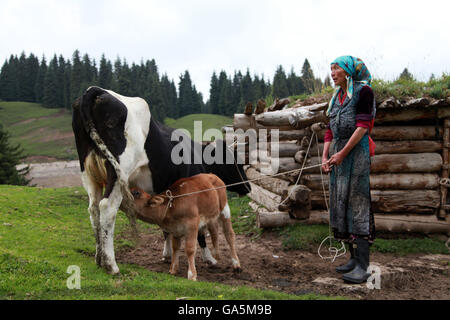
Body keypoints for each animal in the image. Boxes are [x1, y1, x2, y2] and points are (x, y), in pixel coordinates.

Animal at [72, 86, 251, 274]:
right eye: (237, 163)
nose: (248, 187)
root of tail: (96, 90)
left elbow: (165, 227)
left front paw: (167, 254)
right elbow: (200, 232)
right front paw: (208, 258)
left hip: (89, 174)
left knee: (94, 210)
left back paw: (98, 259)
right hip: (117, 171)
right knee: (107, 208)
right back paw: (111, 265)